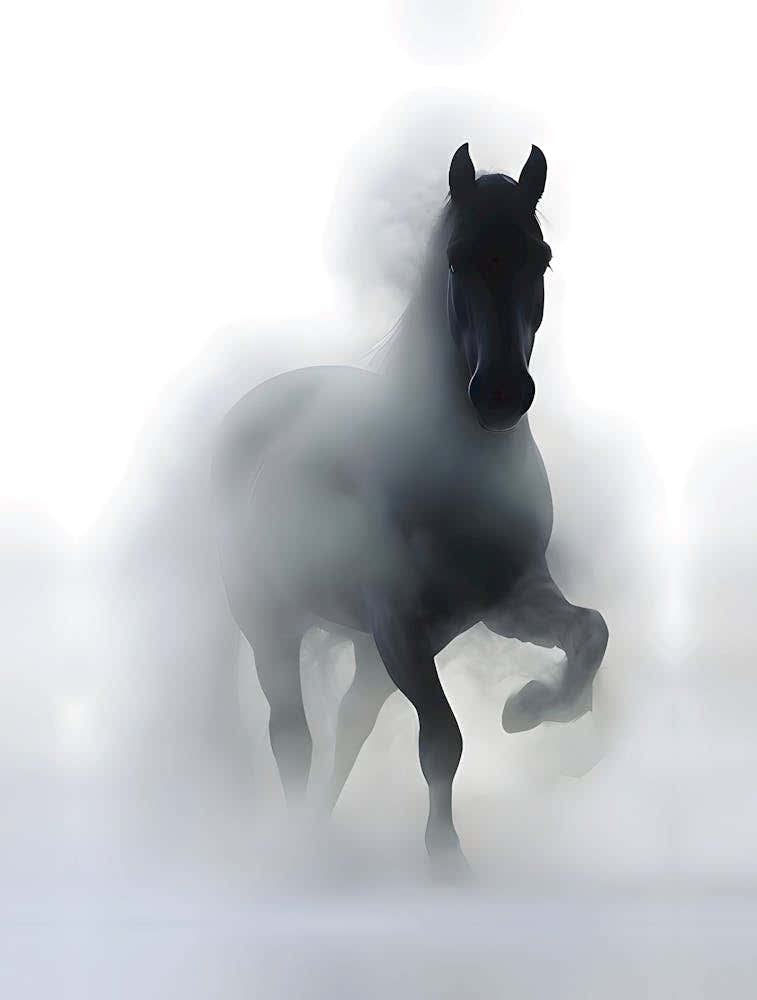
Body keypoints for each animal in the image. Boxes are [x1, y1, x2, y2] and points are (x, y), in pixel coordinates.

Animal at [212, 142, 608, 866]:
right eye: (458, 257)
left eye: (539, 257)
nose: (500, 394)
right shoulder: (398, 621)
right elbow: (443, 740)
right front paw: (446, 857)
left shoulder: (505, 602)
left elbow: (591, 631)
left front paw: (533, 711)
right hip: (273, 624)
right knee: (293, 734)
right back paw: (299, 843)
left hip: (374, 650)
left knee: (350, 721)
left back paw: (319, 826)